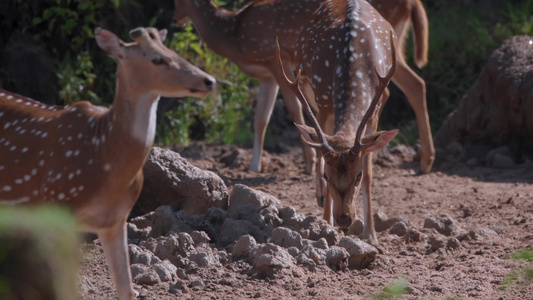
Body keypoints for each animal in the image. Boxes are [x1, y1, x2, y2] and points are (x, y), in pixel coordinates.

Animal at [1, 27, 216, 298]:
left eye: (172, 50)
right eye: (157, 59)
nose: (209, 80)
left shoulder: (116, 218)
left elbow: (127, 289)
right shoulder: (59, 203)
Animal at [172, 0, 434, 178]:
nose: (175, 20)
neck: (235, 35)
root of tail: (413, 3)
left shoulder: (275, 57)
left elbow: (294, 109)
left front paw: (309, 164)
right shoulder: (267, 76)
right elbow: (260, 119)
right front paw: (254, 166)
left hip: (387, 49)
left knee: (408, 86)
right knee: (413, 85)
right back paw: (417, 159)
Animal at [276, 0, 396, 244]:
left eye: (357, 175)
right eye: (327, 176)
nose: (343, 219)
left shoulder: (374, 113)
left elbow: (371, 173)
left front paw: (371, 234)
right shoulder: (323, 102)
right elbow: (322, 154)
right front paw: (325, 223)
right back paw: (320, 197)